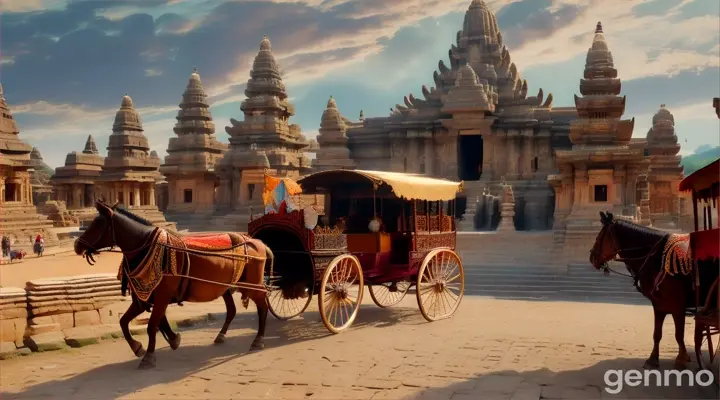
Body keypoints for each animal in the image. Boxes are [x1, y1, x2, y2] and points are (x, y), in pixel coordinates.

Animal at [74, 202, 272, 370]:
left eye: (98, 224)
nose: (77, 245)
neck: (147, 247)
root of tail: (258, 242)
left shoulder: (162, 296)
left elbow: (151, 325)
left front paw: (149, 356)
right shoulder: (144, 298)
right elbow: (125, 322)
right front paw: (144, 346)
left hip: (252, 284)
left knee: (262, 305)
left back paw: (258, 340)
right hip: (226, 287)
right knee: (232, 310)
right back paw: (221, 336)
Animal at [588, 211, 696, 370]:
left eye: (600, 236)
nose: (592, 257)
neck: (657, 258)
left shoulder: (677, 305)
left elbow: (678, 334)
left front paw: (681, 359)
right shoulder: (659, 304)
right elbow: (657, 333)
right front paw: (652, 359)